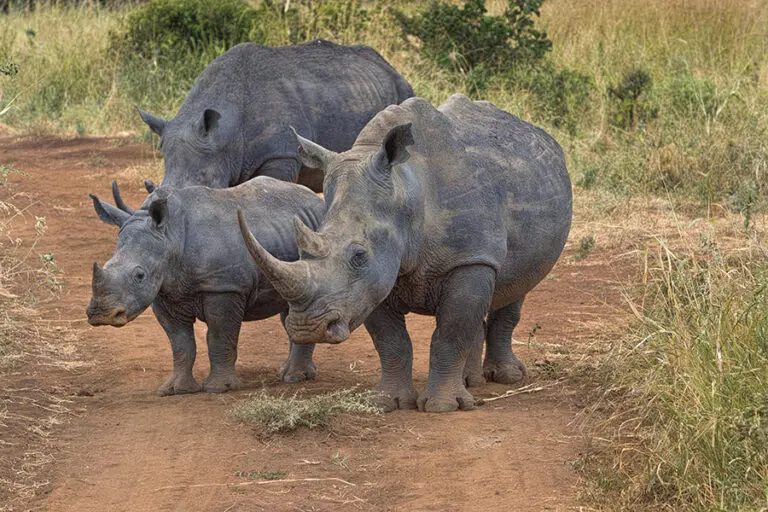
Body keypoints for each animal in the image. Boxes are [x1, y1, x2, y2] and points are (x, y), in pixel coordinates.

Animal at [86, 178, 324, 395]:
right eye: (104, 266)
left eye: (140, 275)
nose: (101, 314)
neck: (170, 237)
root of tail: (315, 199)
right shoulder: (164, 292)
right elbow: (180, 343)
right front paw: (175, 389)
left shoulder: (223, 287)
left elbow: (219, 337)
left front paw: (219, 388)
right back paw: (291, 372)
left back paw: (294, 378)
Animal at [238, 95, 573, 412]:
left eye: (359, 256)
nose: (307, 329)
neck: (406, 192)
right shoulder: (374, 280)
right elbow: (392, 342)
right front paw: (388, 402)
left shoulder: (467, 259)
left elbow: (450, 334)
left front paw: (442, 407)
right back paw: (471, 382)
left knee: (517, 287)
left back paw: (506, 378)